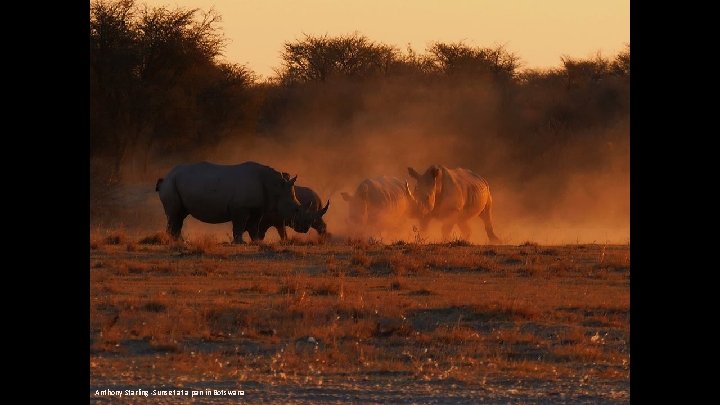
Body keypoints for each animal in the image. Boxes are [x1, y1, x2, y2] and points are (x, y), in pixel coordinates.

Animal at [156, 161, 302, 243]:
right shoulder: (240, 207)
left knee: (179, 216)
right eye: (295, 208)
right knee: (174, 214)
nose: (300, 228)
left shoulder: (257, 207)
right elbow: (239, 225)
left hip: (175, 183)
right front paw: (240, 242)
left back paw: (181, 241)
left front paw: (256, 242)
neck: (275, 186)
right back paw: (177, 242)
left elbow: (254, 225)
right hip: (171, 184)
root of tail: (166, 176)